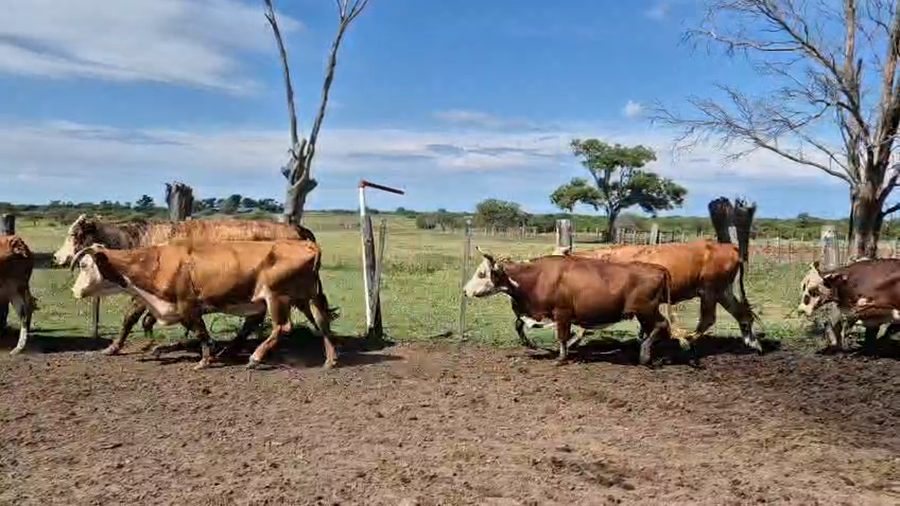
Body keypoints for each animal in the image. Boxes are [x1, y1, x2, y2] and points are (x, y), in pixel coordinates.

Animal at [69, 239, 339, 370]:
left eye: (83, 265)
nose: (75, 291)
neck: (156, 262)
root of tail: (307, 245)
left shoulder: (188, 305)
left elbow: (200, 332)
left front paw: (204, 360)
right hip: (306, 298)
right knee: (322, 323)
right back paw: (330, 360)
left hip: (277, 297)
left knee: (282, 327)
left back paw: (255, 358)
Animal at [463, 247, 690, 366]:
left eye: (482, 274)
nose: (465, 291)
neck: (538, 277)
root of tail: (657, 268)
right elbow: (520, 325)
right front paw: (533, 345)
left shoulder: (561, 313)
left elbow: (562, 336)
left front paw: (561, 358)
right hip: (644, 313)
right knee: (660, 329)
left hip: (646, 310)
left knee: (661, 326)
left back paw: (644, 355)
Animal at [553, 238, 764, 354]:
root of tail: (730, 248)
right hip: (722, 291)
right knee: (742, 314)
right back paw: (752, 342)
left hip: (710, 291)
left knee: (708, 318)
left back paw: (686, 341)